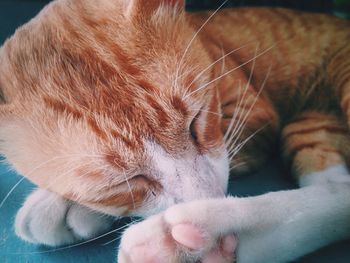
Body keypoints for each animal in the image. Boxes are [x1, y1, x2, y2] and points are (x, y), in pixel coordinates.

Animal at [2, 0, 350, 262]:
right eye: (124, 181)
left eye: (196, 122)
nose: (212, 195)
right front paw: (63, 204)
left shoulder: (254, 113)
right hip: (307, 127)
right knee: (334, 184)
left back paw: (194, 233)